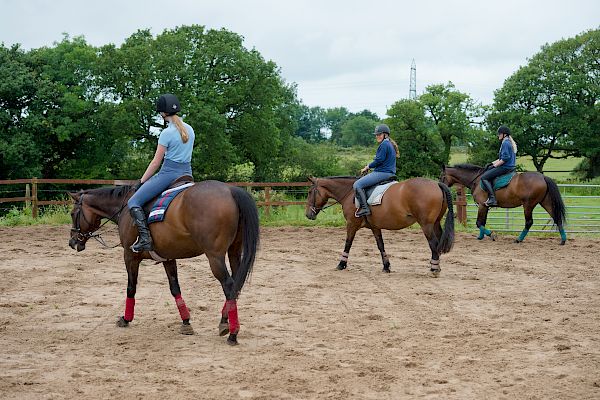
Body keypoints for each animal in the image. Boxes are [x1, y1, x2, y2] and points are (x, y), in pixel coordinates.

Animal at [68, 180, 260, 346]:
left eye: (72, 213)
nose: (72, 242)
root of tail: (230, 190)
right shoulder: (168, 258)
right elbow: (175, 288)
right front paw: (186, 321)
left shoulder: (129, 257)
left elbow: (131, 287)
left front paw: (126, 319)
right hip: (234, 251)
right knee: (236, 284)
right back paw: (224, 322)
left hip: (215, 256)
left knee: (229, 285)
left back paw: (233, 333)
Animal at [304, 177, 454, 276]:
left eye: (310, 192)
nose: (308, 215)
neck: (349, 192)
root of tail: (437, 183)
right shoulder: (375, 227)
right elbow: (380, 245)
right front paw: (386, 266)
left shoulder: (351, 224)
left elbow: (348, 243)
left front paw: (341, 264)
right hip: (435, 224)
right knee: (438, 243)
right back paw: (437, 267)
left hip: (426, 225)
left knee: (433, 244)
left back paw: (434, 269)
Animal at [440, 162, 568, 244]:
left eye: (441, 177)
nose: (441, 187)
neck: (476, 179)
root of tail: (543, 177)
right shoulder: (485, 207)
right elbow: (482, 222)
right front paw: (481, 236)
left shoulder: (482, 205)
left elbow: (478, 222)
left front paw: (491, 235)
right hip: (545, 202)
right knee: (556, 217)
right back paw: (563, 240)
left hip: (528, 205)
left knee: (529, 222)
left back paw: (518, 239)